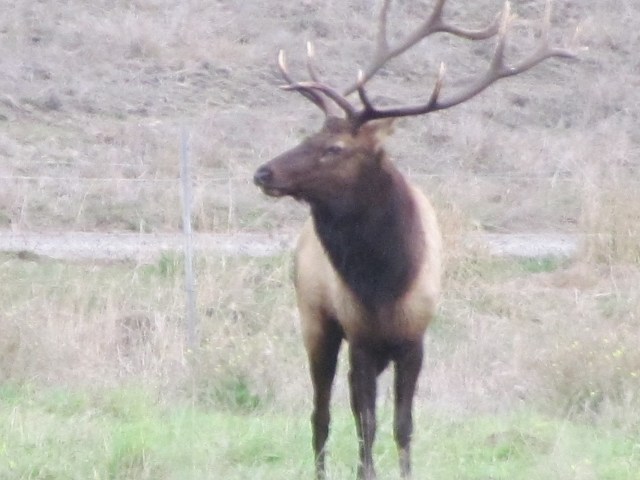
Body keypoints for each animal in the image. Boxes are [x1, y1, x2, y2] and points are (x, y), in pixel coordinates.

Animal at [253, 1, 577, 478]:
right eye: (308, 135)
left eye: (334, 148)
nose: (263, 172)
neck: (385, 283)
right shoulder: (361, 337)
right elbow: (366, 424)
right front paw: (365, 471)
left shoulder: (414, 339)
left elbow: (402, 425)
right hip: (315, 318)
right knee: (321, 414)